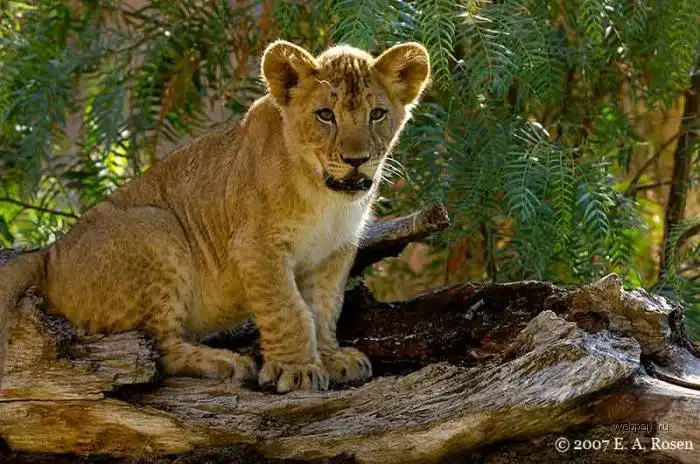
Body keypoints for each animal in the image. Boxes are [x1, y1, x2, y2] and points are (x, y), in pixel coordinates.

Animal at [0, 40, 430, 393]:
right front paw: (297, 370)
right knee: (161, 349)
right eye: (325, 115)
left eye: (377, 114)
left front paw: (330, 356)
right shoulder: (256, 246)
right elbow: (288, 309)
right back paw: (226, 362)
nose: (357, 160)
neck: (327, 197)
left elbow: (323, 308)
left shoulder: (334, 253)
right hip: (155, 227)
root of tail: (48, 255)